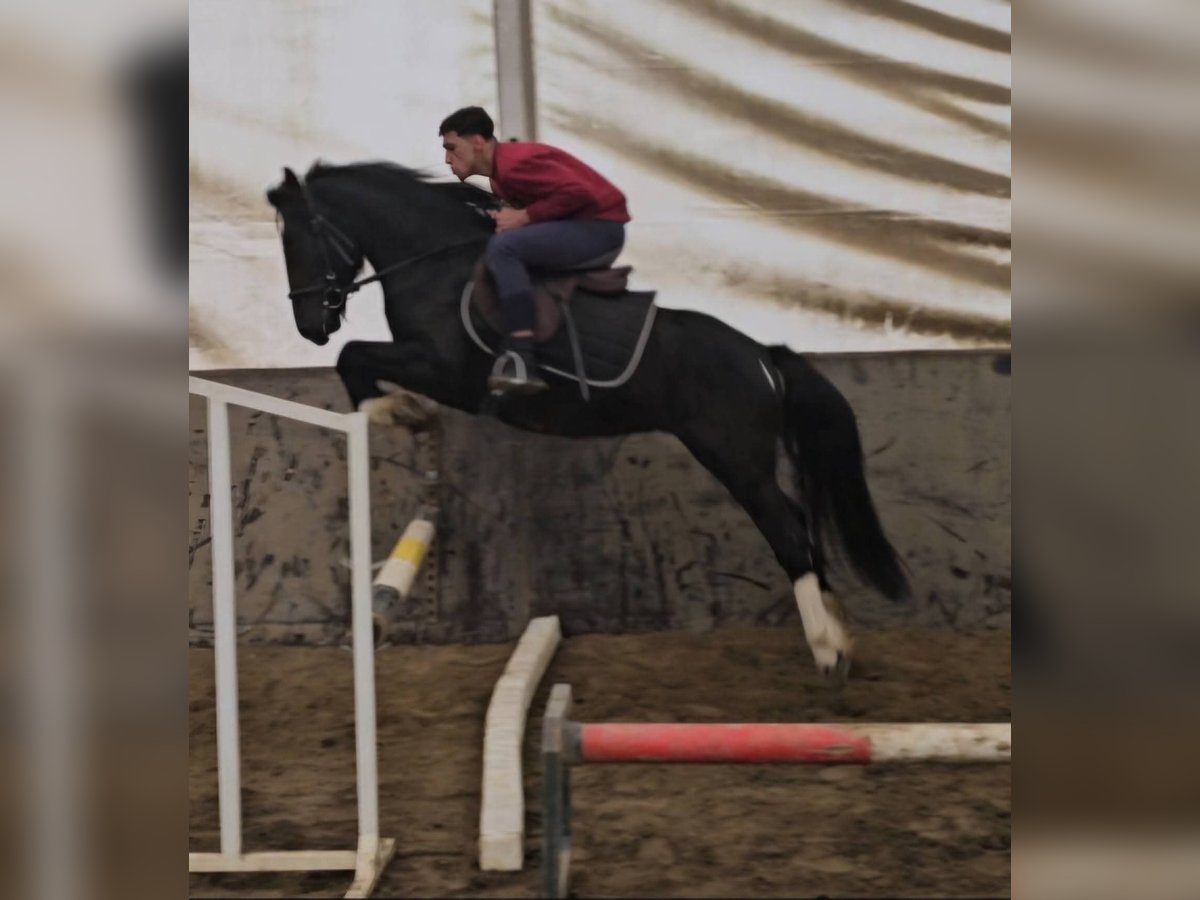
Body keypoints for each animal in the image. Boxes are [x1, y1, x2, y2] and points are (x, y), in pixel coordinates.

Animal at [266, 161, 910, 680]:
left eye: (298, 237)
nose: (310, 325)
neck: (436, 264)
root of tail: (762, 356)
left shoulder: (447, 369)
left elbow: (354, 357)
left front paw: (396, 409)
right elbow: (355, 359)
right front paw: (404, 410)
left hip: (734, 458)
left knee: (789, 533)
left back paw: (827, 648)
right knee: (800, 527)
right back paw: (839, 634)